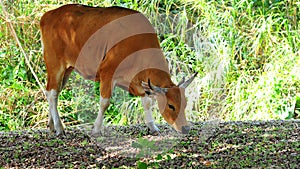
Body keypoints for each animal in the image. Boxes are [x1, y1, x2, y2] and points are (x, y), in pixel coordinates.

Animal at [39, 3, 197, 136]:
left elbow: (146, 103)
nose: (185, 128)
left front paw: (152, 127)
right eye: (171, 106)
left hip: (68, 68)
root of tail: (48, 15)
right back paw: (59, 128)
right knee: (52, 93)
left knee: (54, 92)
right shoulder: (107, 72)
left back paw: (52, 125)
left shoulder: (139, 81)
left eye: (185, 103)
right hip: (54, 63)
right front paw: (96, 129)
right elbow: (105, 103)